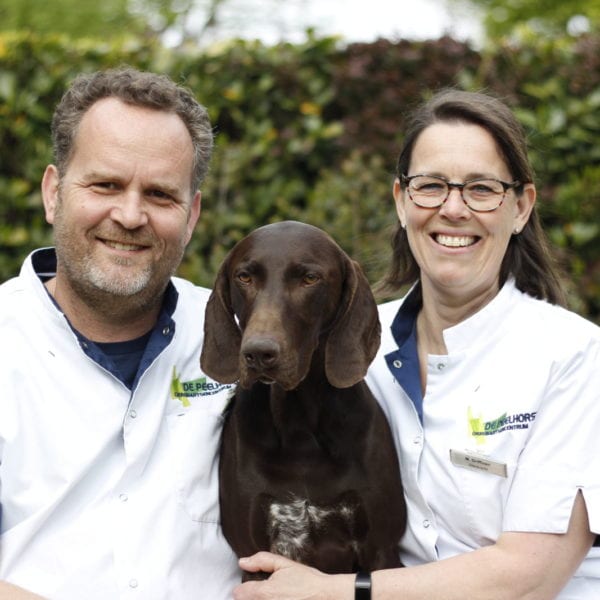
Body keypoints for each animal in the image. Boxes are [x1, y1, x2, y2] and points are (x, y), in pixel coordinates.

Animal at [200, 220, 404, 576]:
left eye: (310, 278)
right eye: (244, 277)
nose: (258, 353)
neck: (299, 430)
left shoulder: (381, 549)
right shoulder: (254, 556)